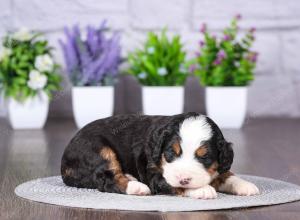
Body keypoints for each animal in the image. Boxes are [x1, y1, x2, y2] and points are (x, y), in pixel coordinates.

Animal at [60, 112, 258, 199]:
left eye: (204, 157)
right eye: (171, 153)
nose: (184, 178)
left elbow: (226, 174)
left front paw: (245, 185)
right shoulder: (153, 173)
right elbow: (174, 185)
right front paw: (201, 190)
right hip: (99, 149)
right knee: (106, 179)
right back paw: (136, 187)